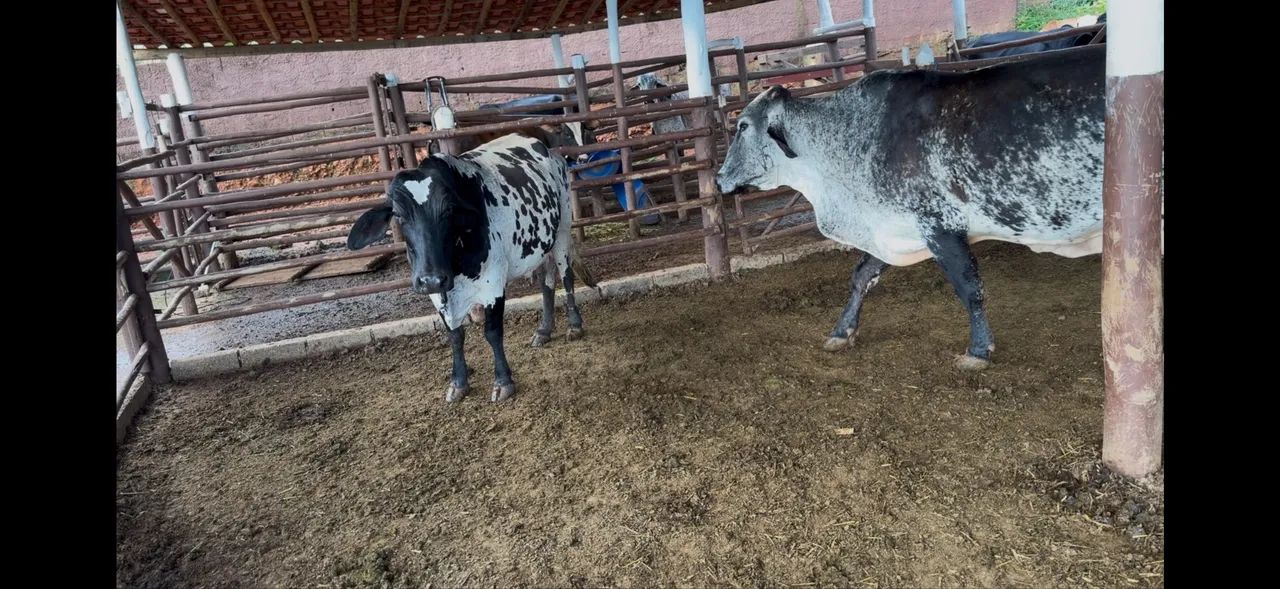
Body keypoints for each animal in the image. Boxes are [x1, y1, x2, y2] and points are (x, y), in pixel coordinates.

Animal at [348, 126, 596, 402]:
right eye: (399, 215)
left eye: (449, 211)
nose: (431, 278)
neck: (455, 268)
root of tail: (546, 148)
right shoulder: (438, 294)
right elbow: (455, 335)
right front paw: (458, 382)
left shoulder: (493, 285)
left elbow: (492, 332)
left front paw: (503, 381)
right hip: (539, 246)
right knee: (546, 281)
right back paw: (544, 330)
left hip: (562, 230)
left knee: (566, 276)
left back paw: (574, 325)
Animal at [715, 45, 1108, 370]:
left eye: (743, 126)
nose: (719, 179)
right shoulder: (890, 227)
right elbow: (861, 277)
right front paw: (841, 332)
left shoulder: (940, 227)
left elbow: (971, 288)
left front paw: (978, 350)